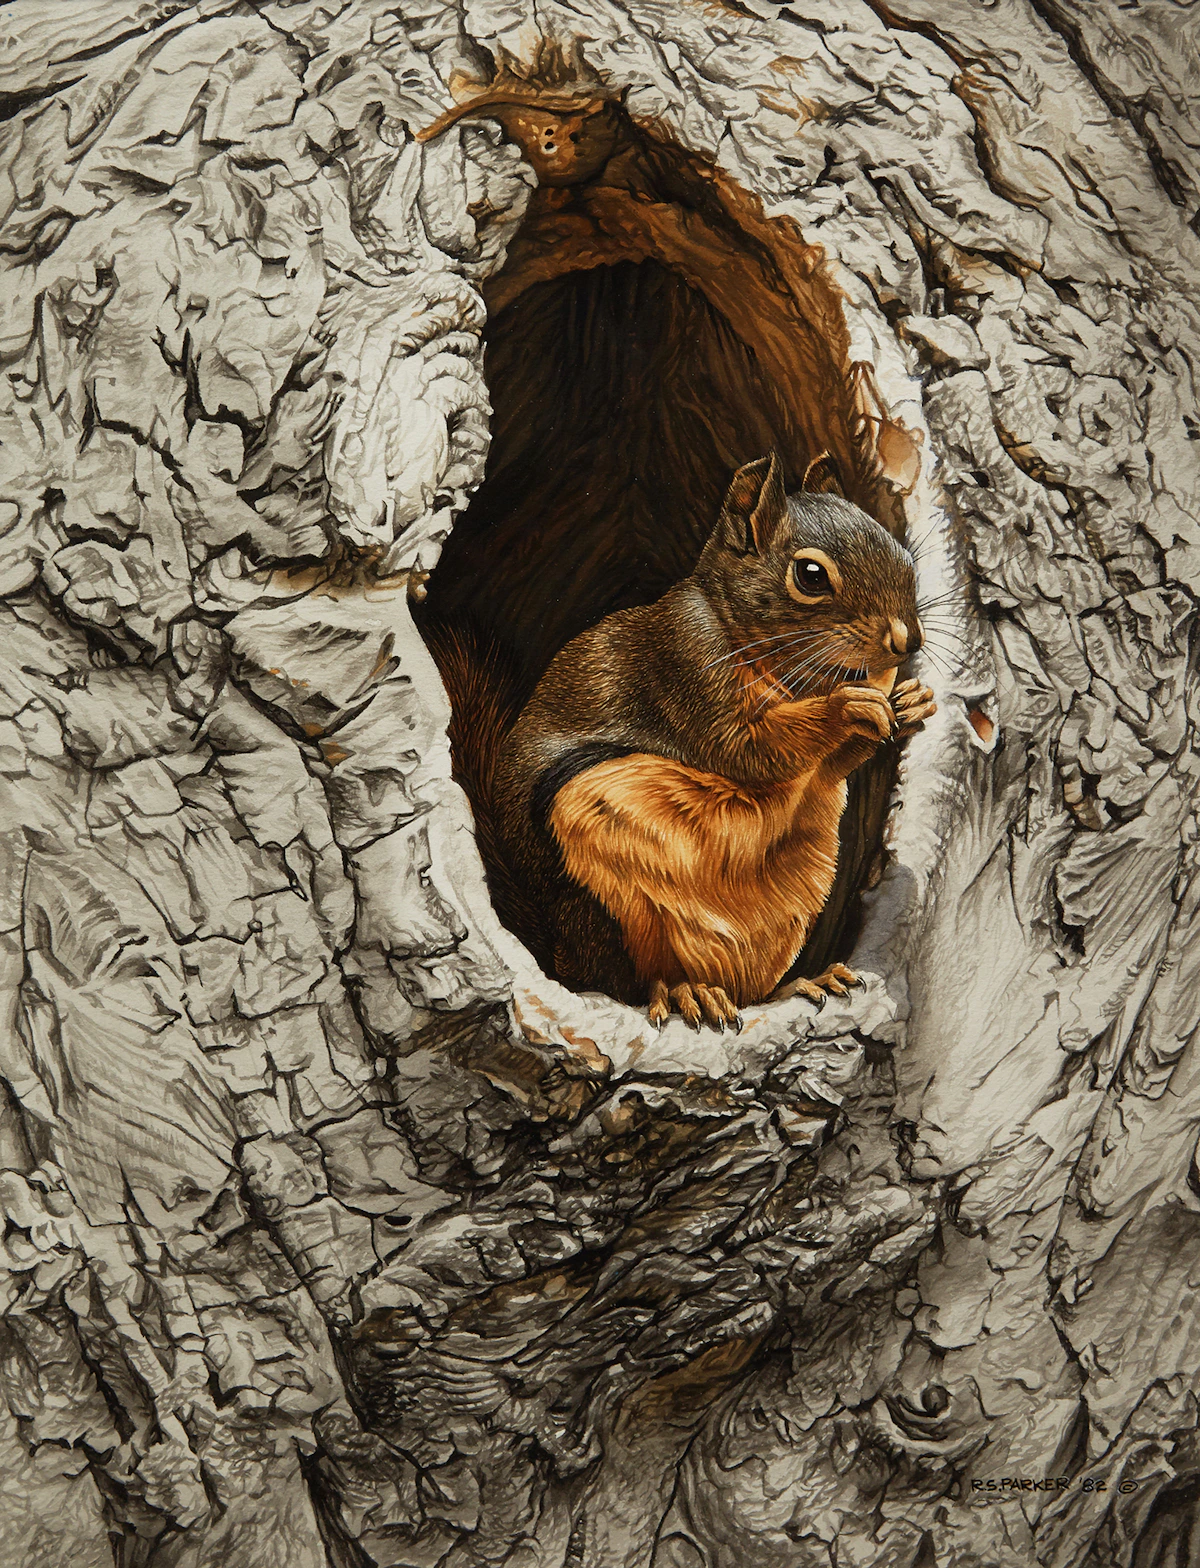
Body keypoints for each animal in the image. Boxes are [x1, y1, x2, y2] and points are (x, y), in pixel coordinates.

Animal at [448, 452, 935, 1029]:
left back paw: (802, 982)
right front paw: (848, 707)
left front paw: (912, 702)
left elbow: (833, 766)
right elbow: (750, 750)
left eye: (901, 551)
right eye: (810, 575)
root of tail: (564, 952)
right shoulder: (684, 663)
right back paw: (687, 992)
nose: (908, 640)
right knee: (631, 982)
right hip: (609, 901)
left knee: (750, 991)